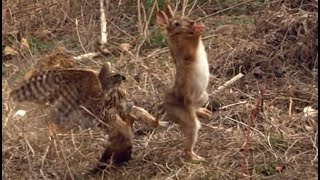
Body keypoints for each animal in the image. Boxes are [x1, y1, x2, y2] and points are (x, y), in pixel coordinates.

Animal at [156, 0, 212, 160]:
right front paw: (198, 30)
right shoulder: (186, 52)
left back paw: (205, 113)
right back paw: (196, 159)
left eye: (184, 16)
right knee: (188, 145)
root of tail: (166, 106)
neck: (179, 36)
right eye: (176, 24)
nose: (192, 22)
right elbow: (192, 44)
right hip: (189, 121)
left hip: (203, 96)